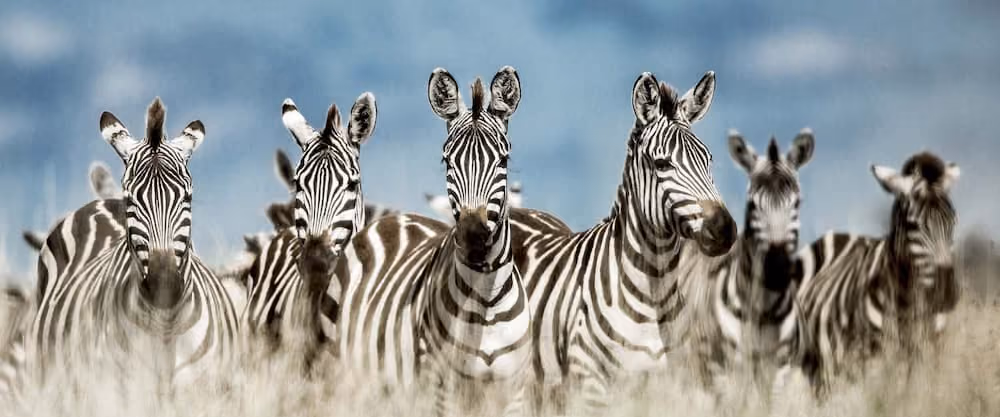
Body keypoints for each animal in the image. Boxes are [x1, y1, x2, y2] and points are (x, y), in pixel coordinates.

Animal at [326, 66, 530, 417]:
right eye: (447, 162)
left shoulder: (513, 392)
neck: (486, 300)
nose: (473, 236)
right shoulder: (441, 389)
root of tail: (396, 218)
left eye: (503, 160)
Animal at [505, 71, 738, 416]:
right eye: (662, 164)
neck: (654, 292)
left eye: (708, 160)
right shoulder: (592, 386)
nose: (723, 229)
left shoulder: (669, 385)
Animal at [677, 128, 814, 391]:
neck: (763, 311)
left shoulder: (782, 372)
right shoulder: (724, 373)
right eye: (752, 204)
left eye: (797, 203)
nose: (776, 268)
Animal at [785, 151, 960, 397]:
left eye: (952, 221)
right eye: (913, 225)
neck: (907, 307)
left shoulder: (930, 355)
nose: (945, 292)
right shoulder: (872, 362)